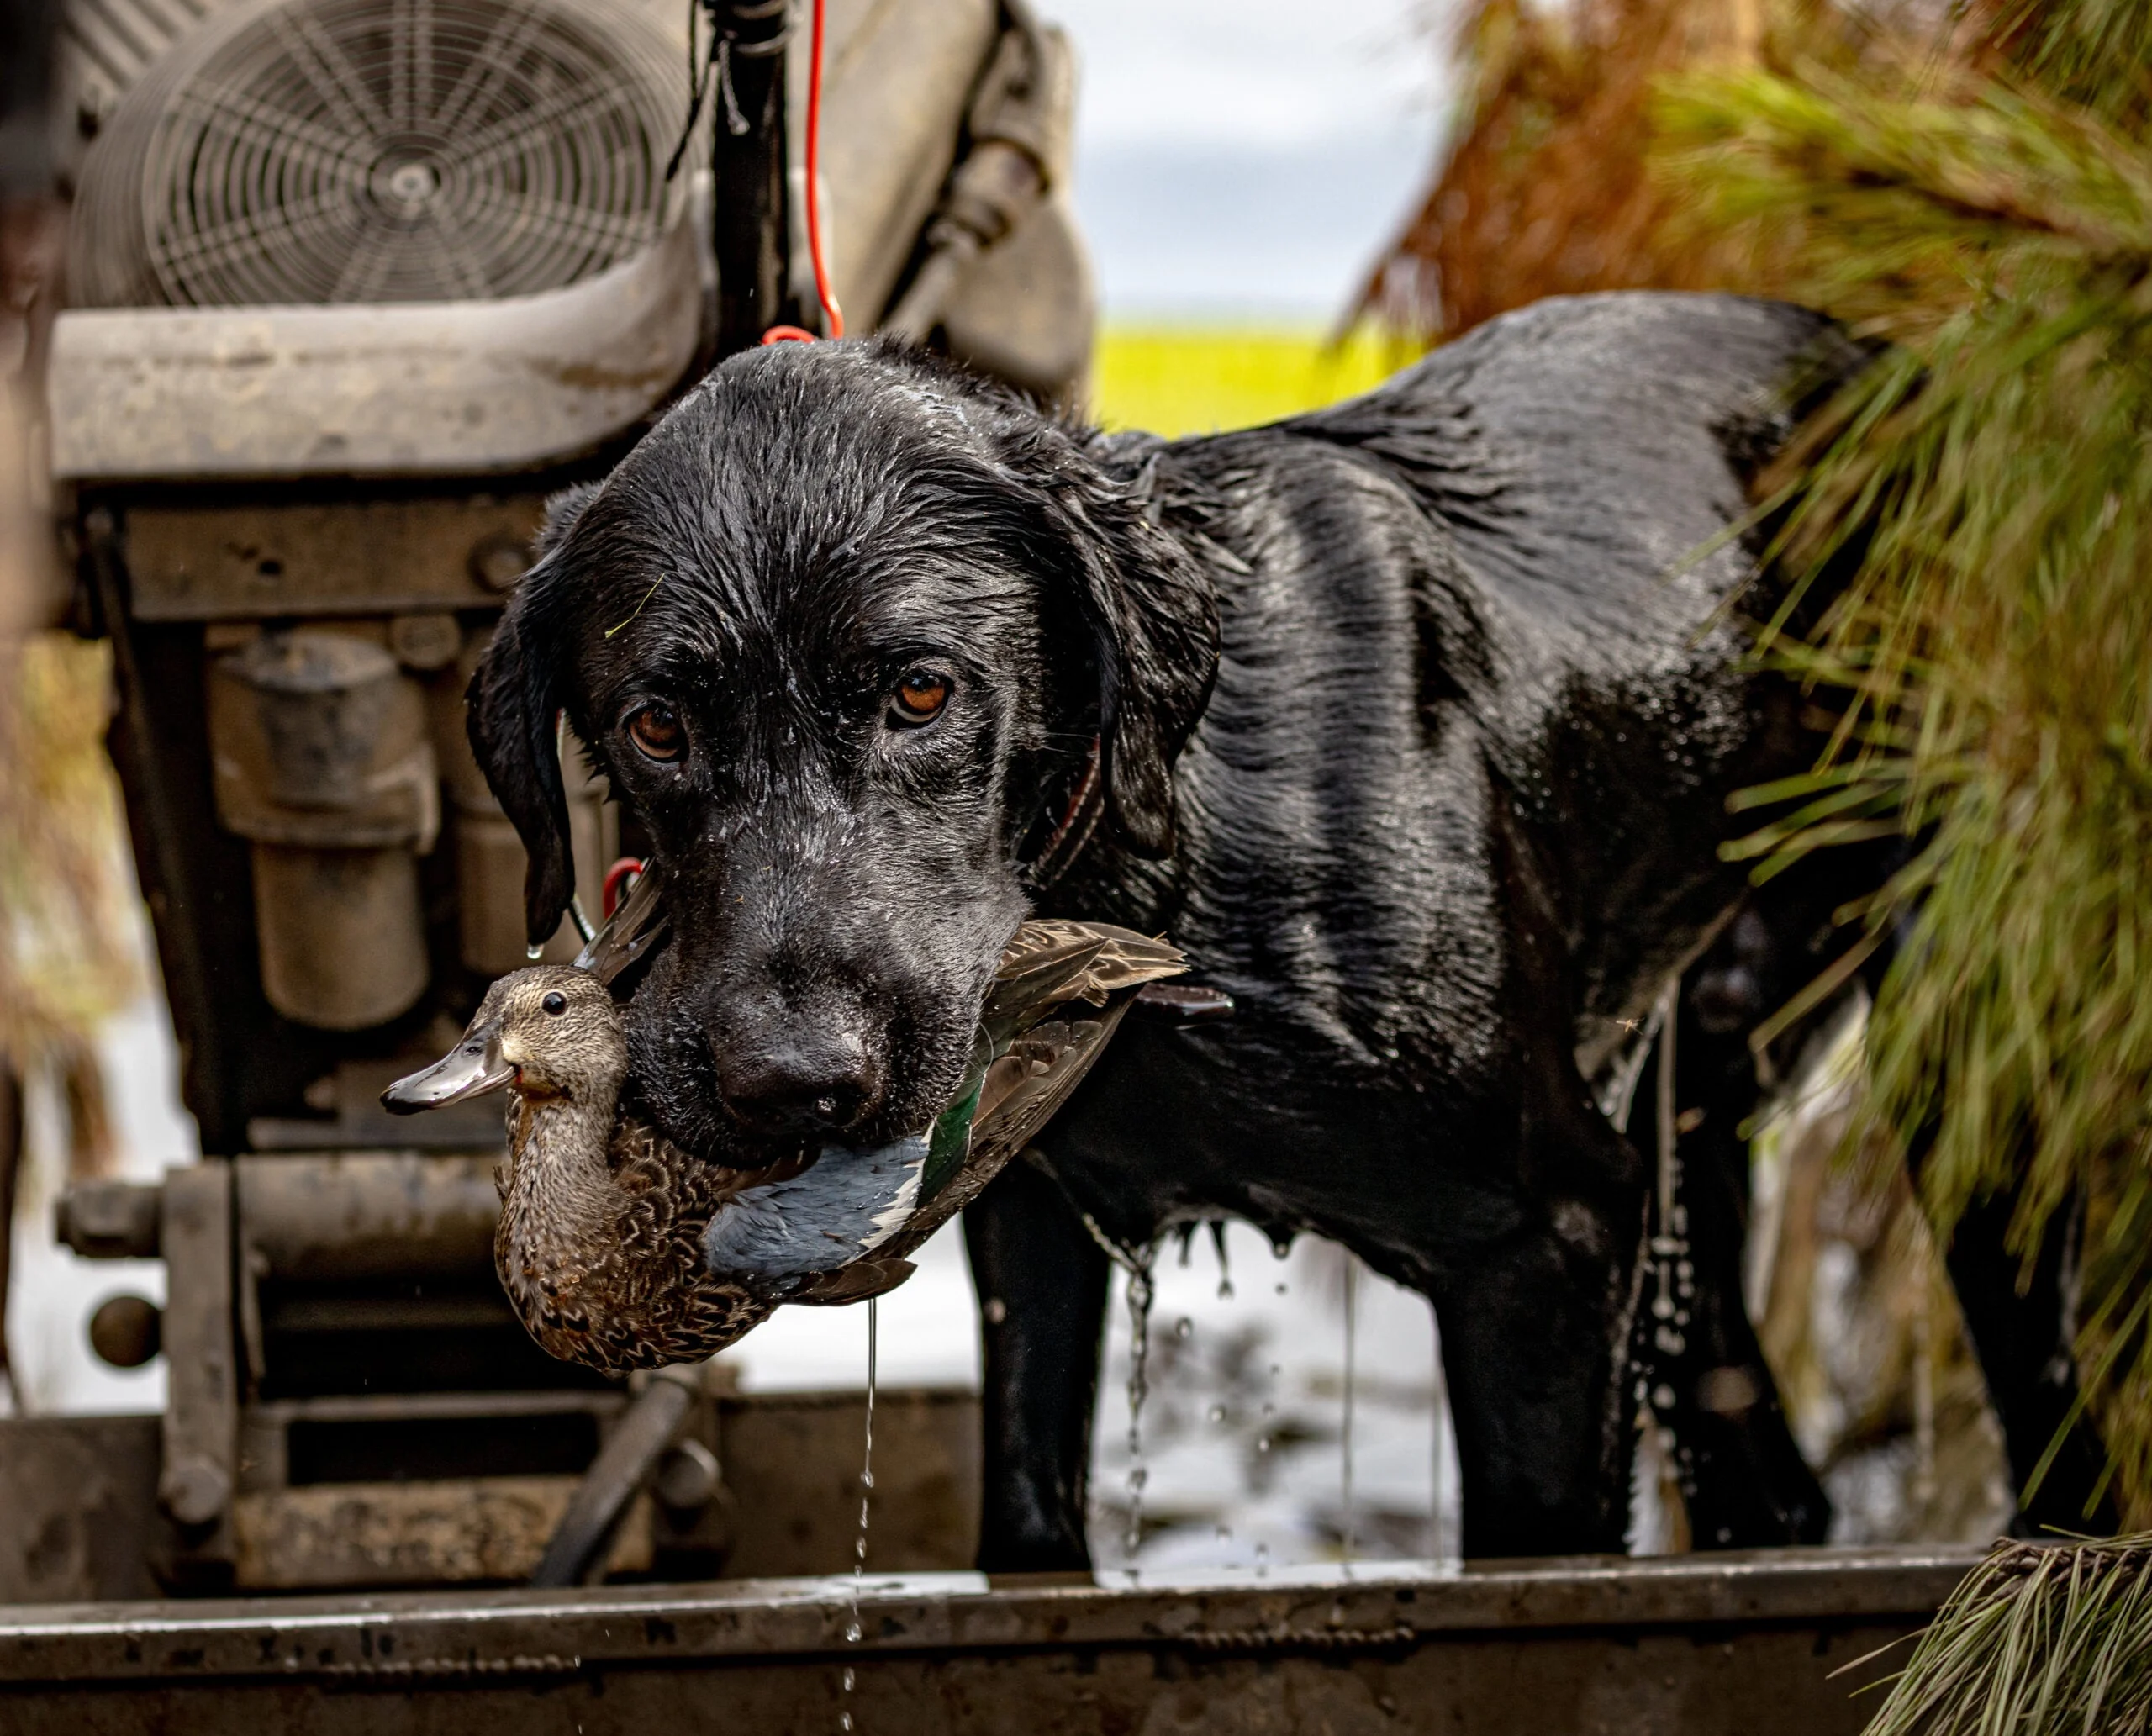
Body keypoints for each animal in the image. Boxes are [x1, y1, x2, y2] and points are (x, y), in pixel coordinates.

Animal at [471, 293, 2100, 1565]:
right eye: (657, 725)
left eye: (922, 692)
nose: (792, 1083)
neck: (1159, 854)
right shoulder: (1032, 1234)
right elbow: (1030, 1524)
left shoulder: (1552, 1240)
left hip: (1958, 1032)